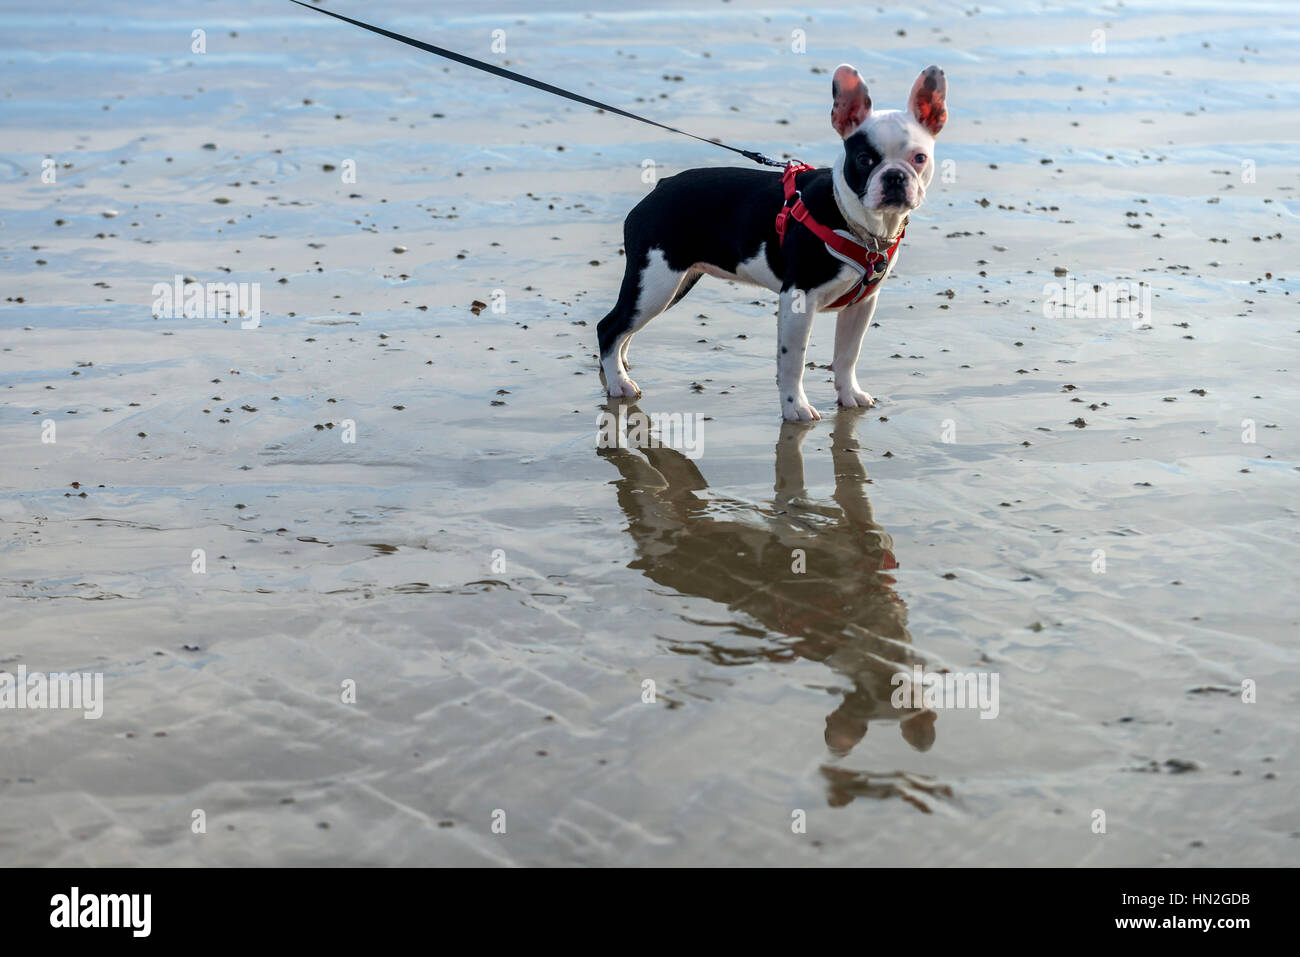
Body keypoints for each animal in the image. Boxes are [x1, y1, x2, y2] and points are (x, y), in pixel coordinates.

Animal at [595, 65, 946, 421]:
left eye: (919, 158)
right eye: (864, 159)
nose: (894, 177)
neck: (856, 221)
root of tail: (659, 188)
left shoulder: (861, 305)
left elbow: (848, 354)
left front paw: (849, 394)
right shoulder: (798, 299)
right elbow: (793, 361)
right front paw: (796, 408)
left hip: (670, 285)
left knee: (625, 328)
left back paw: (619, 368)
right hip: (656, 283)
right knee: (610, 327)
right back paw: (618, 383)